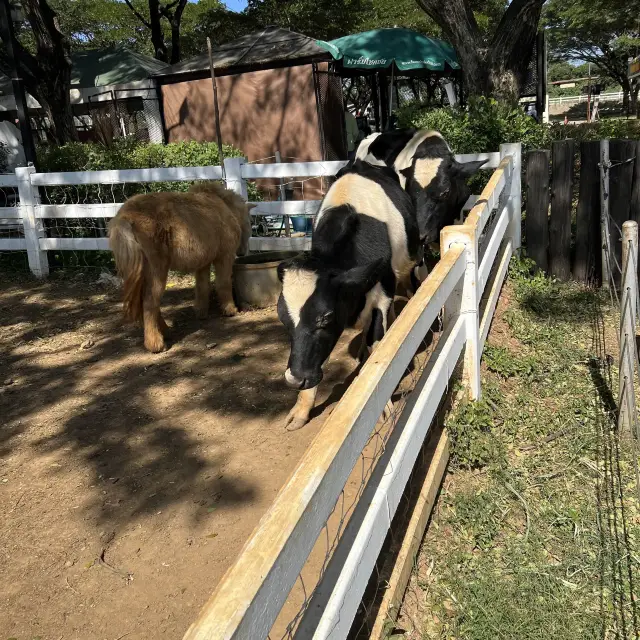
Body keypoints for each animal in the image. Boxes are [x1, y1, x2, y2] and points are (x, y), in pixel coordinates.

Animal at [109, 180, 254, 352]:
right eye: (249, 223)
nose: (243, 253)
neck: (225, 207)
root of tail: (125, 217)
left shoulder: (203, 264)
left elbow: (202, 287)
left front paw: (201, 312)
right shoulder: (224, 258)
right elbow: (223, 283)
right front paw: (230, 310)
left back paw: (165, 332)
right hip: (157, 271)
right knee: (150, 302)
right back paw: (156, 344)